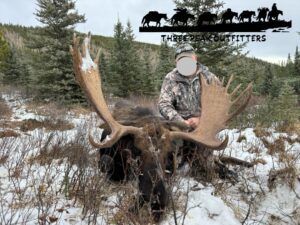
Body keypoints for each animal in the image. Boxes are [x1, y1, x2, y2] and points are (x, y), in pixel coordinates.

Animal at [70, 32, 253, 222]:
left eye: (170, 155)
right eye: (136, 152)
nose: (156, 198)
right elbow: (107, 164)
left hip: (202, 159)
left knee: (218, 165)